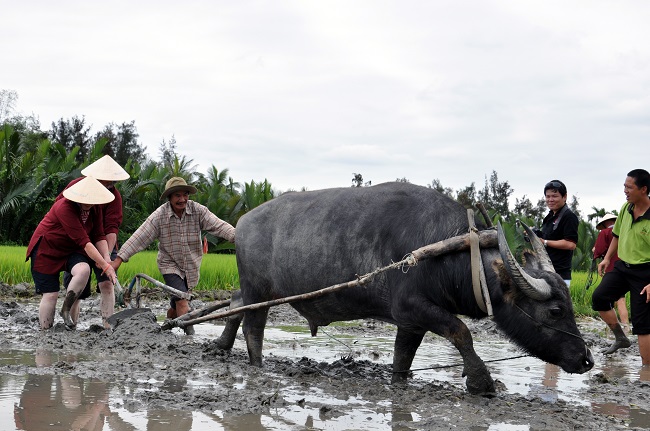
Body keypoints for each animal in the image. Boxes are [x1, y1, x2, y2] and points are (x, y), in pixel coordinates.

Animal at [218, 182, 592, 394]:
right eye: (555, 311)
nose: (586, 359)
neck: (449, 253)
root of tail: (242, 223)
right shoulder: (414, 308)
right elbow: (461, 332)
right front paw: (482, 382)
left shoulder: (411, 322)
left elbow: (403, 357)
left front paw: (399, 381)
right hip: (258, 293)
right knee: (253, 327)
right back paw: (256, 364)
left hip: (256, 292)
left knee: (234, 303)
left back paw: (221, 346)